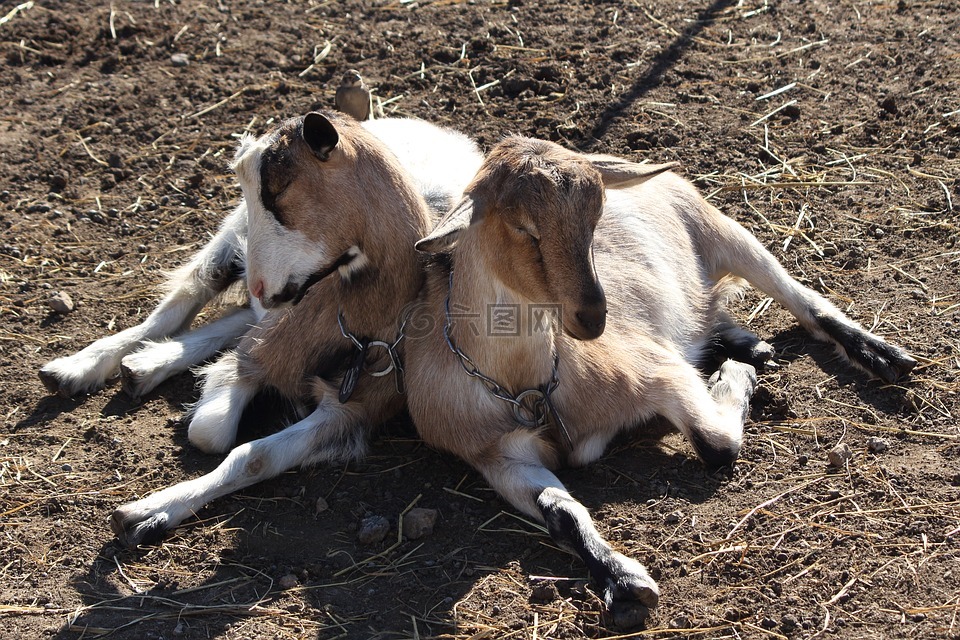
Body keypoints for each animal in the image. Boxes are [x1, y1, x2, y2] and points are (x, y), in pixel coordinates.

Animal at [41, 110, 484, 544]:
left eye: (276, 191)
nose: (257, 284)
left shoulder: (352, 409)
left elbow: (253, 455)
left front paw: (149, 513)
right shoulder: (265, 345)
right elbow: (213, 430)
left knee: (233, 319)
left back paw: (143, 366)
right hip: (229, 241)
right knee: (180, 302)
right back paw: (75, 369)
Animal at [404, 136, 916, 616]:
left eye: (596, 218)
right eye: (523, 229)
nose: (594, 316)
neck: (524, 382)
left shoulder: (660, 371)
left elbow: (715, 443)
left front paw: (734, 377)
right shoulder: (495, 456)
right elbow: (559, 513)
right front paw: (622, 578)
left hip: (724, 230)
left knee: (802, 298)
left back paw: (881, 356)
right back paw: (749, 343)